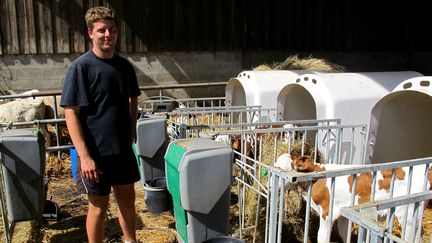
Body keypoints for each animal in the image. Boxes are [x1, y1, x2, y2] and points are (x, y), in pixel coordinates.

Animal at [276, 155, 432, 242]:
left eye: (280, 168)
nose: (270, 185)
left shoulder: (328, 213)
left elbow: (322, 236)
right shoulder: (344, 214)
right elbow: (344, 234)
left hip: (408, 214)